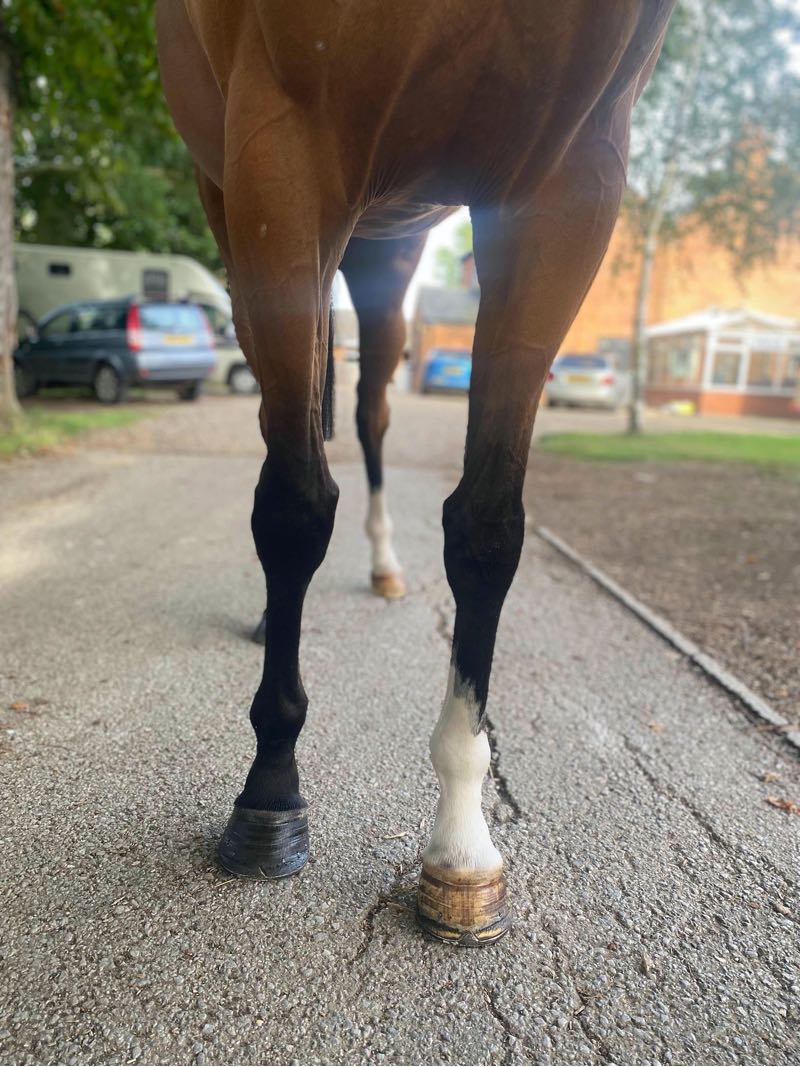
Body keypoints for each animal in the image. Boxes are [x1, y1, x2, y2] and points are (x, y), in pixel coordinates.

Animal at [157, 0, 674, 946]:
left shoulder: (569, 185)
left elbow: (487, 524)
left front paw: (463, 840)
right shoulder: (282, 151)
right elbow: (293, 506)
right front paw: (270, 786)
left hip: (379, 250)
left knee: (362, 415)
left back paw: (382, 563)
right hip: (251, 208)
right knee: (292, 431)